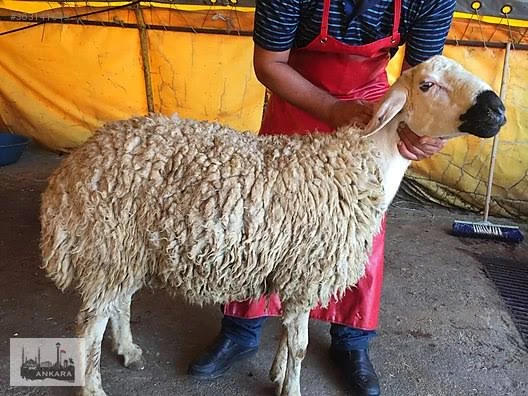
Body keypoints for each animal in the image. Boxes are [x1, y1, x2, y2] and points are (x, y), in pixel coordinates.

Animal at [40, 55, 504, 396]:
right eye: (427, 85)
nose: (497, 110)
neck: (357, 164)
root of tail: (72, 167)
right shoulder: (307, 270)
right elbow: (299, 346)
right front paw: (292, 388)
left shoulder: (296, 271)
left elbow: (287, 338)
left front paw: (278, 376)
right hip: (108, 244)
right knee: (89, 324)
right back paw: (93, 387)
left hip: (129, 249)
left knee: (118, 304)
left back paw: (128, 349)